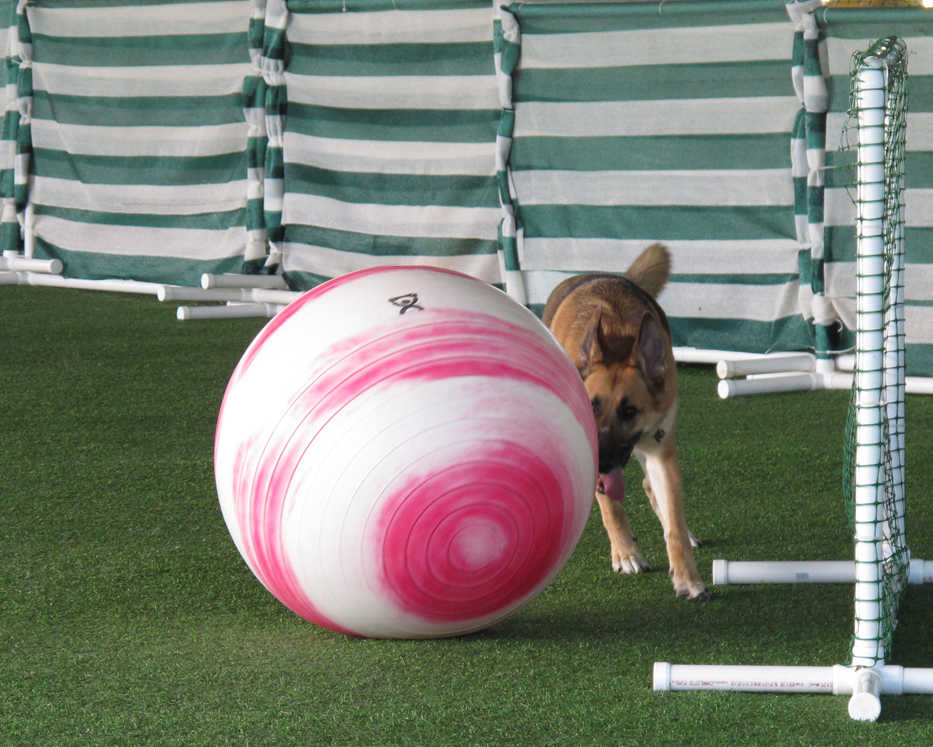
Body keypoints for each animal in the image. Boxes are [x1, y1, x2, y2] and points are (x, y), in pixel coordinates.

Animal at [540, 245, 708, 600]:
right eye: (592, 405)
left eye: (629, 411)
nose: (602, 462)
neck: (619, 335)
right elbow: (612, 507)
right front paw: (626, 554)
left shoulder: (660, 451)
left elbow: (673, 521)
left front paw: (687, 578)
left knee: (653, 490)